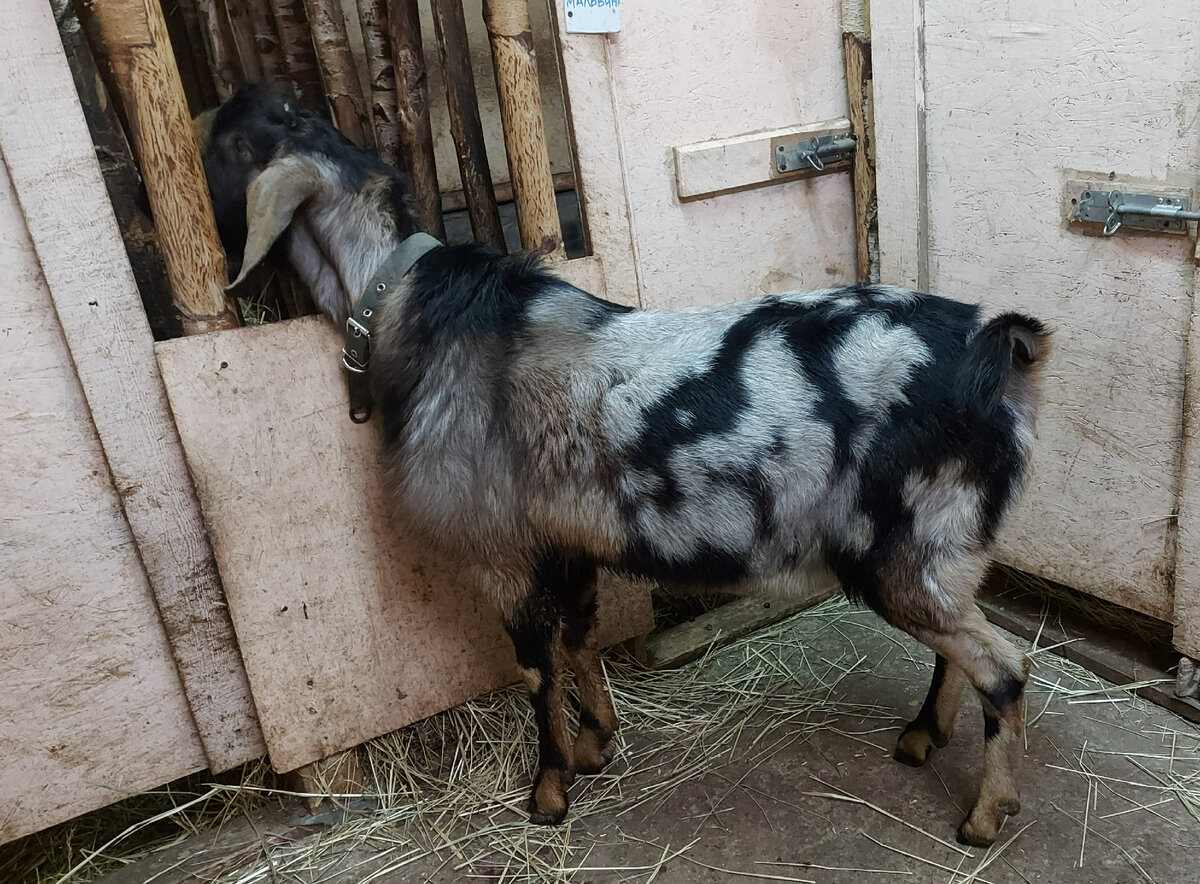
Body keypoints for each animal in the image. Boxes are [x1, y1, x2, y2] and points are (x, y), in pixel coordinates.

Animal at [196, 84, 1051, 849]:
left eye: (236, 143)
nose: (200, 135)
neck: (414, 309)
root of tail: (997, 355)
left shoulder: (503, 554)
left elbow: (536, 669)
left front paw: (547, 794)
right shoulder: (568, 541)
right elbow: (581, 640)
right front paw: (597, 743)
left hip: (906, 545)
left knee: (1006, 669)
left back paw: (983, 818)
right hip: (945, 546)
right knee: (963, 646)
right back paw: (921, 736)